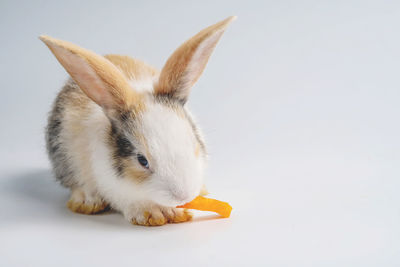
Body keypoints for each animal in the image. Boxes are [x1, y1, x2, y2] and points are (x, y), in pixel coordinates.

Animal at [40, 16, 234, 226]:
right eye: (142, 161)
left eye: (194, 145)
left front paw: (178, 212)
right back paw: (87, 202)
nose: (182, 196)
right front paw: (155, 215)